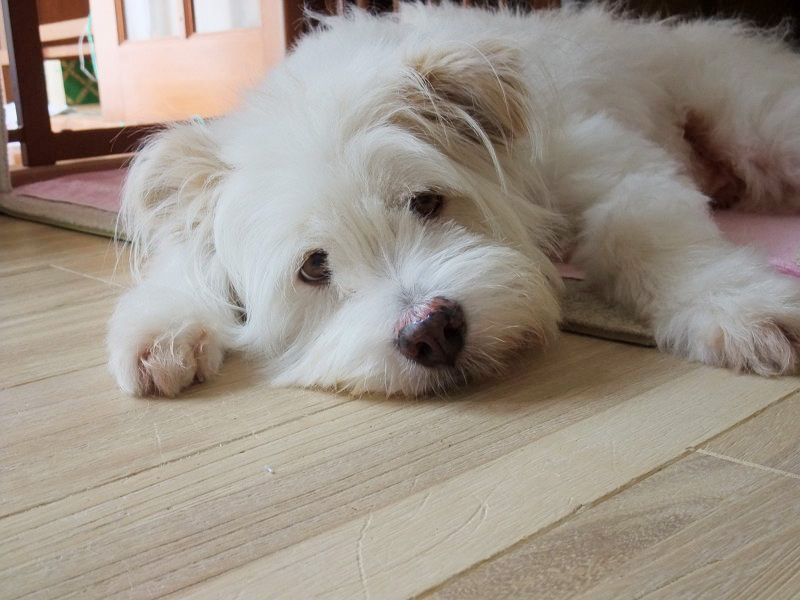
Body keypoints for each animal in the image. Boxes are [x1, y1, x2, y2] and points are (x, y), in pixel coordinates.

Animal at [108, 2, 800, 397]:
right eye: (314, 266)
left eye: (426, 202)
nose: (433, 333)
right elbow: (184, 259)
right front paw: (162, 328)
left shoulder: (608, 162)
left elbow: (648, 231)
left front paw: (740, 307)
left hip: (760, 125)